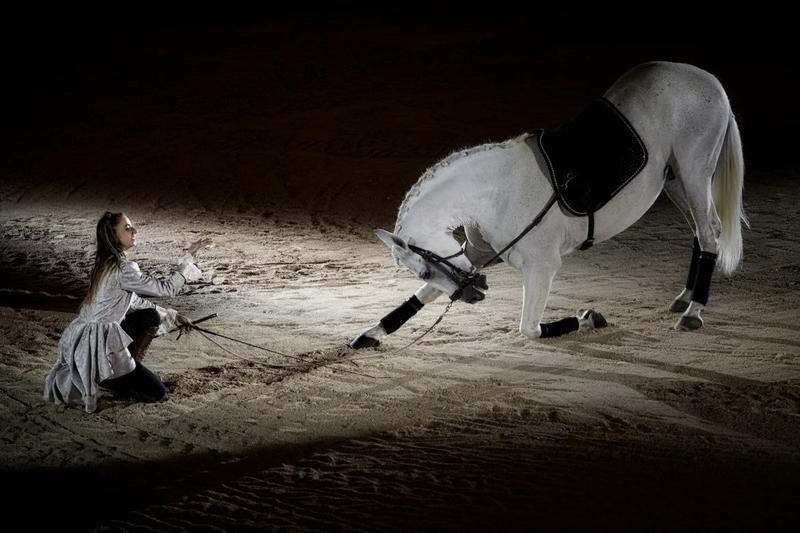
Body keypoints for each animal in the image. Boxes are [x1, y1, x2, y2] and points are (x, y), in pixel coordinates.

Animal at [349, 61, 746, 349]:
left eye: (425, 269)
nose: (475, 295)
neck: (494, 193)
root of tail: (710, 81)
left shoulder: (541, 267)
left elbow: (529, 329)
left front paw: (588, 319)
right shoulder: (472, 257)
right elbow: (420, 299)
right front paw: (371, 333)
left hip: (694, 172)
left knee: (709, 233)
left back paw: (694, 311)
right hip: (676, 180)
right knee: (700, 233)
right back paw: (685, 298)